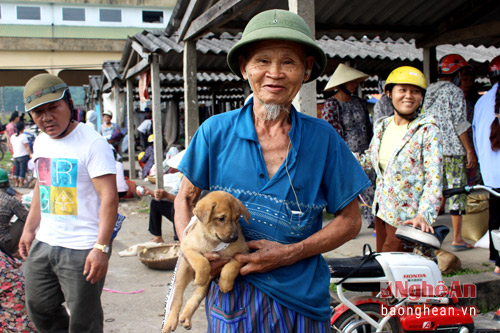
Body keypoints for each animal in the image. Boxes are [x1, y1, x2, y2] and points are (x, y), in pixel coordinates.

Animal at [163, 191, 250, 330]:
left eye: (237, 218)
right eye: (221, 218)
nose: (234, 237)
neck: (215, 243)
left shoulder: (244, 253)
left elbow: (230, 267)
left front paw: (225, 284)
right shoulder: (187, 247)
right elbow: (202, 261)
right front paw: (200, 278)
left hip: (204, 287)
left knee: (195, 297)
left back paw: (186, 317)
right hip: (182, 276)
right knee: (177, 301)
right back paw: (170, 322)